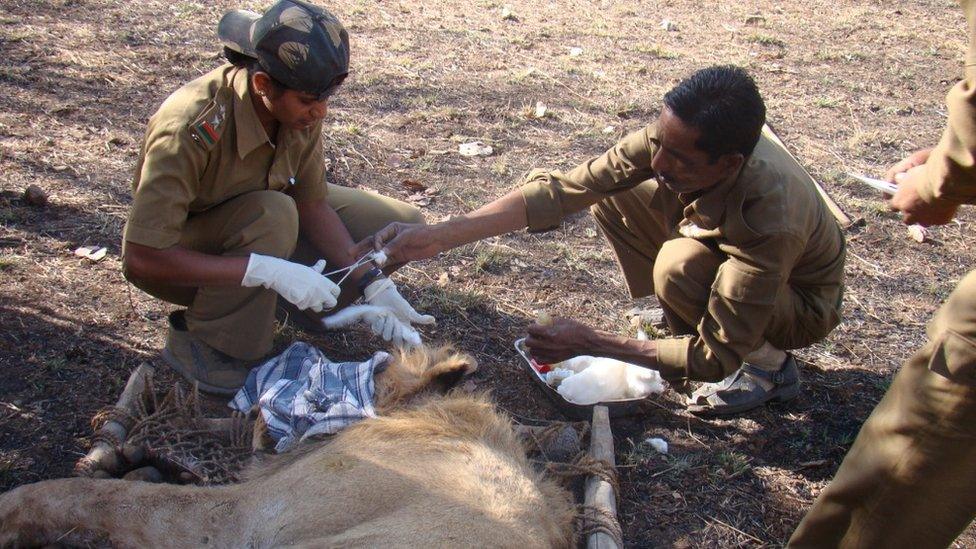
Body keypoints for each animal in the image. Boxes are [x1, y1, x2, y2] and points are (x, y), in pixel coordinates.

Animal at [0, 344, 576, 544]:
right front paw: (140, 458)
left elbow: (99, 497)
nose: (255, 390)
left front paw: (10, 512)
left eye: (312, 379)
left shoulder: (242, 519)